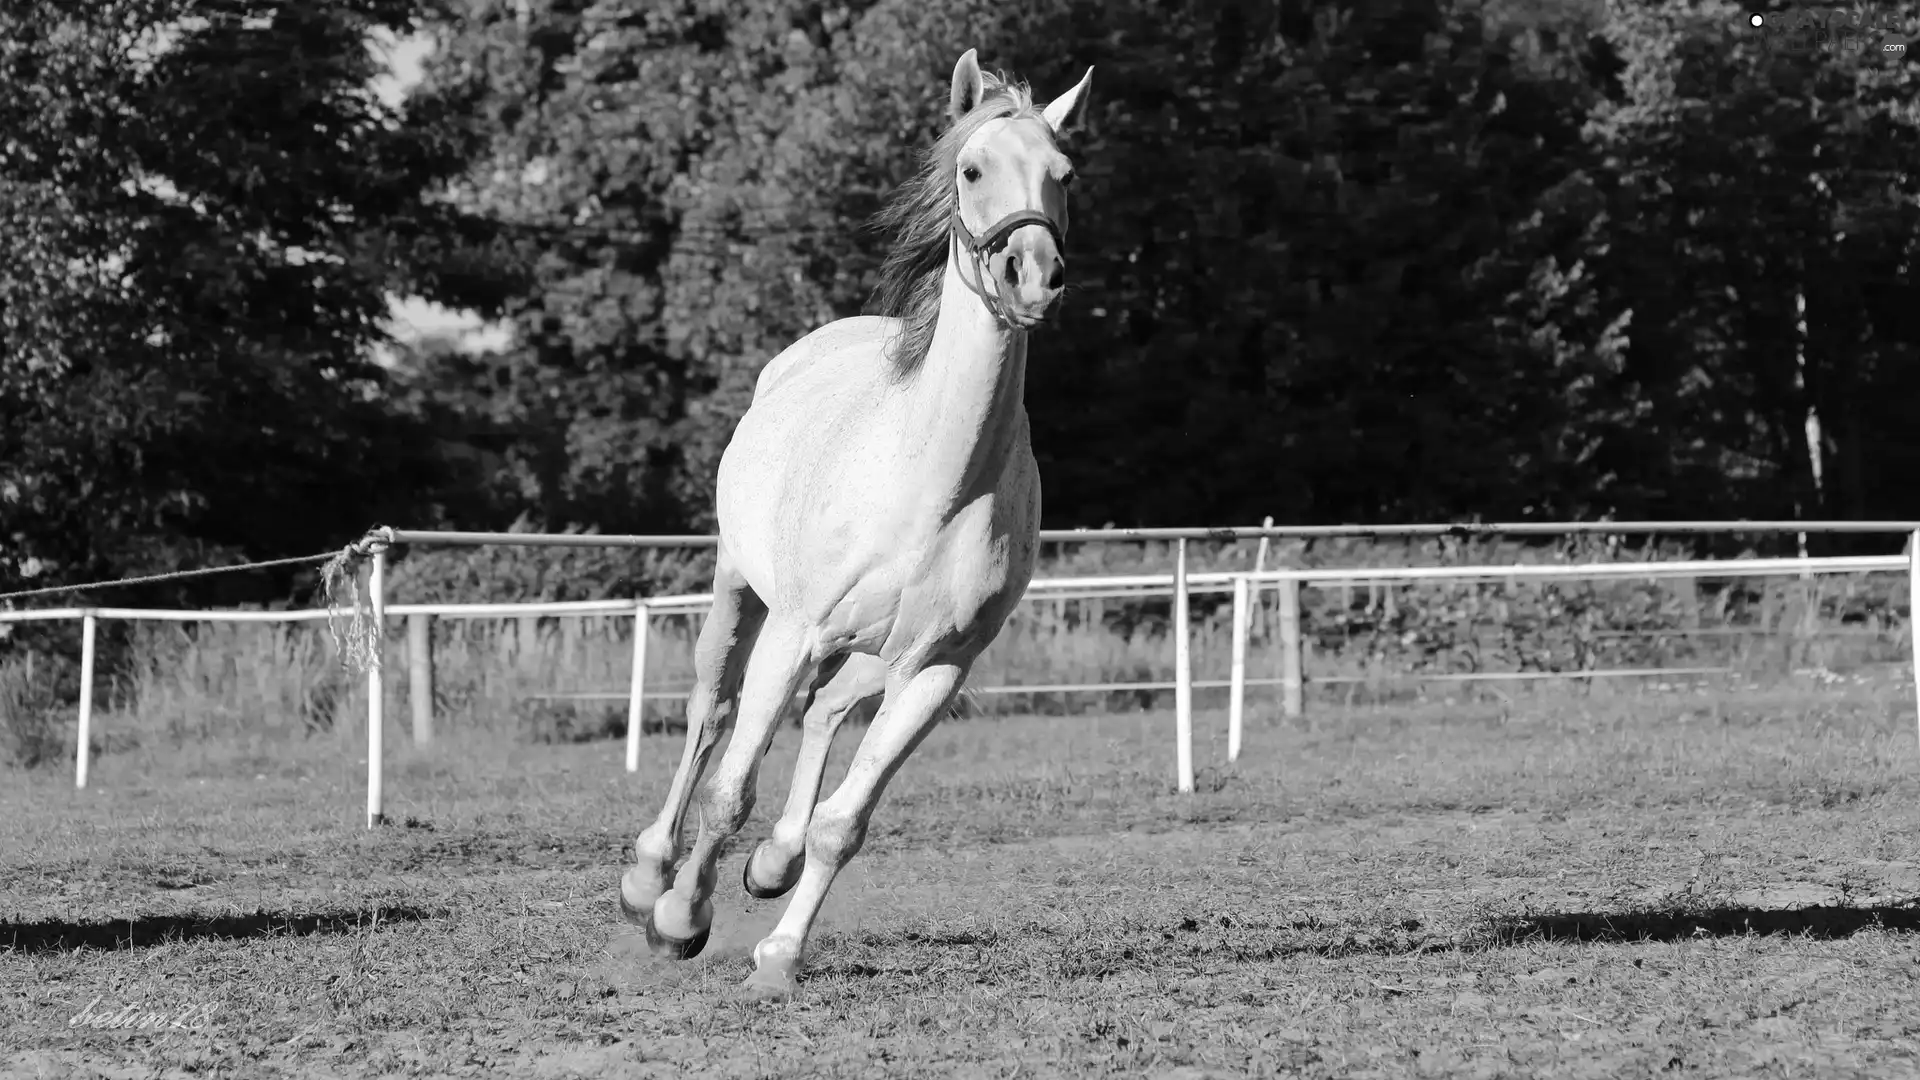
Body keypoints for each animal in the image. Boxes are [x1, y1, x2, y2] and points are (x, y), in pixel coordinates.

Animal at [622, 46, 1090, 999]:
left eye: (1065, 176)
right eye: (972, 168)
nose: (1031, 274)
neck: (934, 482)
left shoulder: (939, 668)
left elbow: (846, 822)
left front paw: (779, 955)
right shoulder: (795, 631)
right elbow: (730, 790)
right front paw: (680, 918)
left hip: (880, 653)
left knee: (828, 713)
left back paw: (773, 864)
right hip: (741, 589)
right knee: (712, 716)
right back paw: (650, 875)